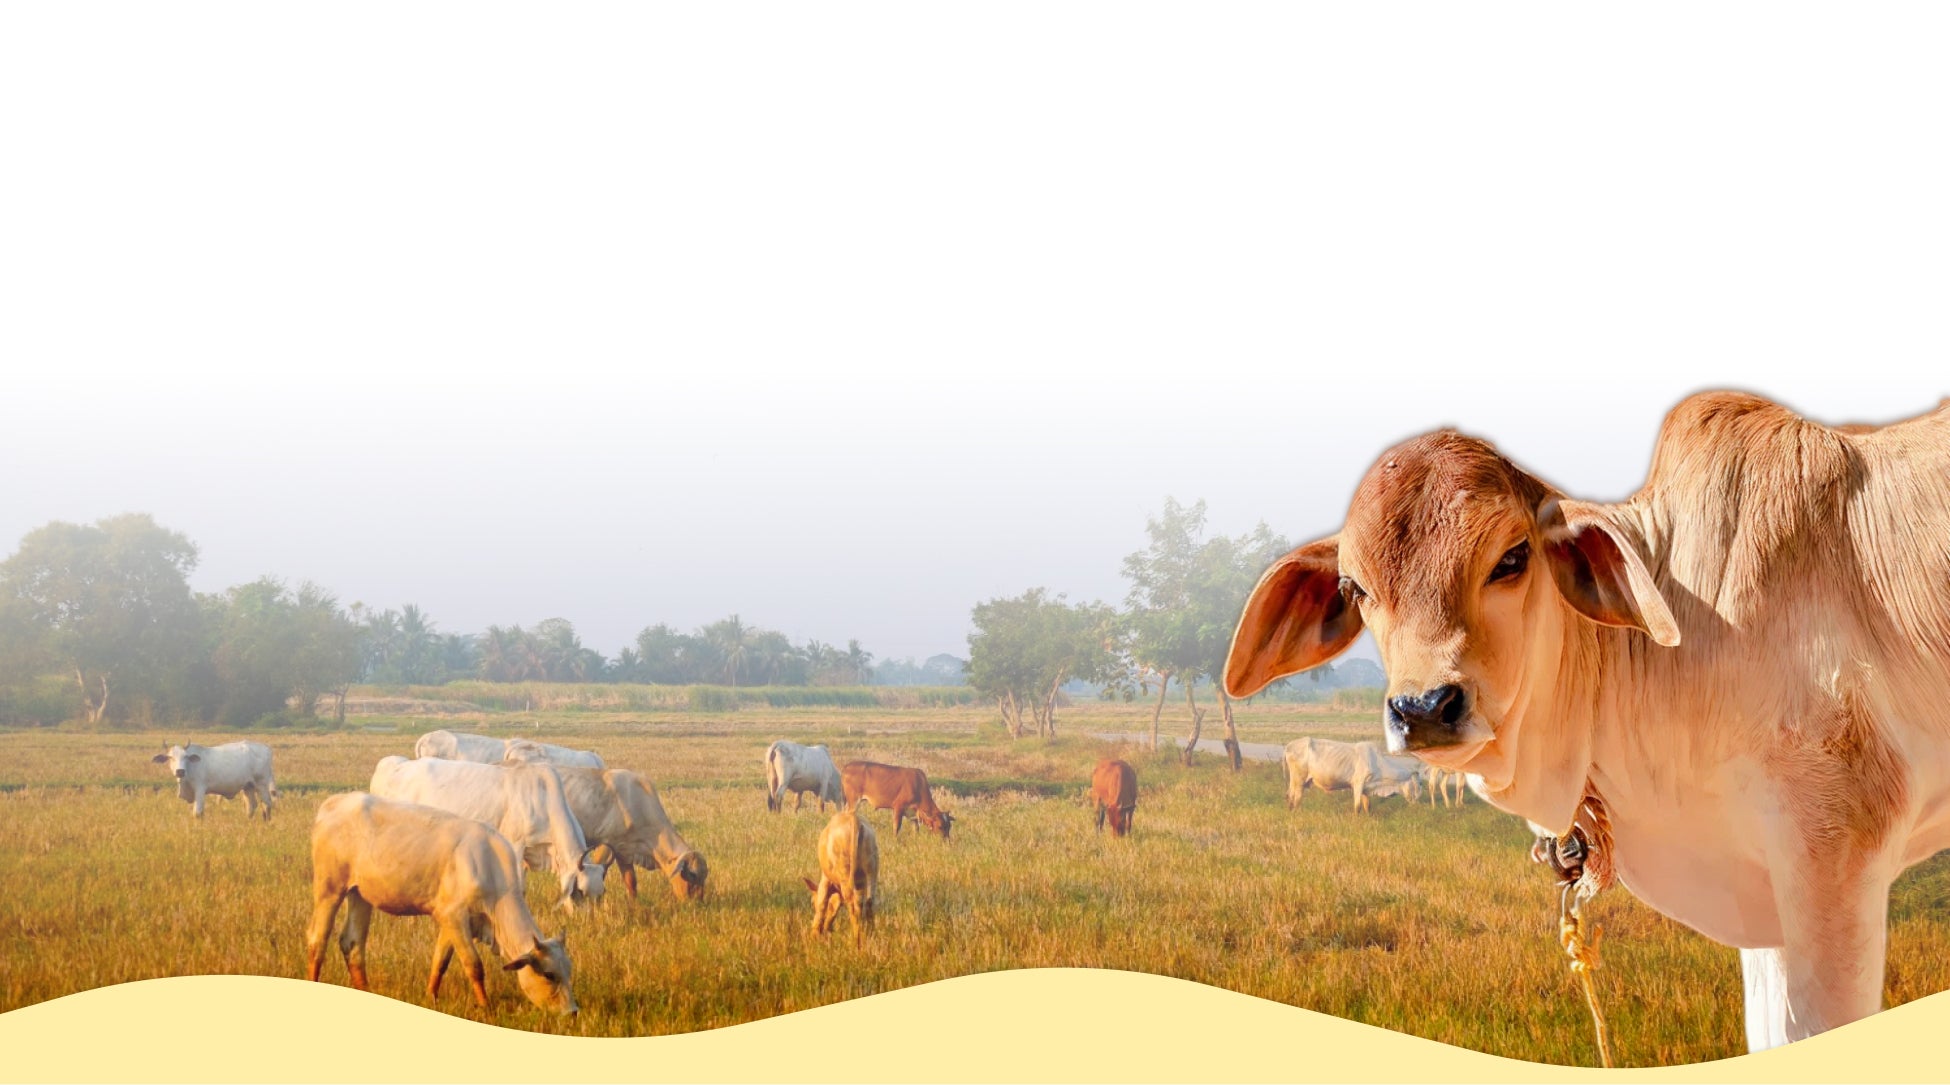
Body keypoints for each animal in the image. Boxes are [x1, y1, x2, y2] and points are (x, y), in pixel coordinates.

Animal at [306, 792, 576, 1015]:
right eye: (549, 974)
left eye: (569, 969)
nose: (572, 1011)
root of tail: (334, 803)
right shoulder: (455, 916)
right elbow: (474, 965)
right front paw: (486, 1007)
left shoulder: (451, 921)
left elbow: (440, 962)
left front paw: (431, 996)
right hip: (329, 889)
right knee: (318, 939)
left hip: (360, 894)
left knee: (352, 943)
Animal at [369, 755, 607, 912]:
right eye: (580, 892)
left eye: (601, 894)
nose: (587, 921)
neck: (543, 797)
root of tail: (396, 765)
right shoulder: (515, 844)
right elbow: (519, 887)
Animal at [555, 767, 709, 901]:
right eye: (692, 874)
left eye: (705, 875)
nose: (698, 903)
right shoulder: (607, 844)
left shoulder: (625, 850)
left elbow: (631, 882)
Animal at [802, 804, 879, 945]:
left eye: (812, 902)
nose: (826, 930)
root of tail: (854, 819)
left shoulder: (826, 879)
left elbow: (822, 903)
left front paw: (814, 934)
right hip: (872, 868)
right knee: (868, 901)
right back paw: (871, 936)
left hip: (844, 871)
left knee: (853, 904)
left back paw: (857, 939)